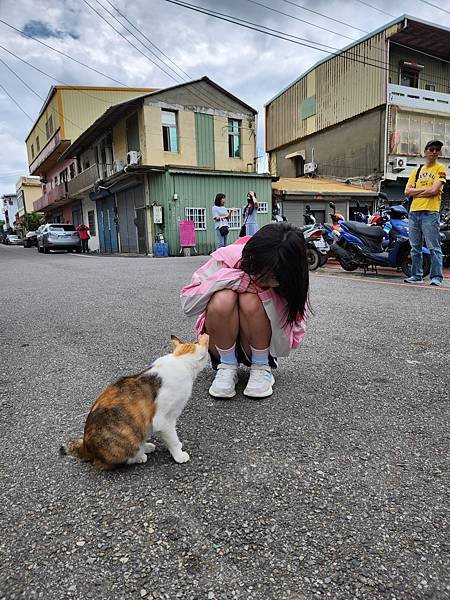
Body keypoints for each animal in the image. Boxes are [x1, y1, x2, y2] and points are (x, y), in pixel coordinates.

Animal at [59, 332, 209, 468]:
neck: (179, 359)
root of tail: (86, 447)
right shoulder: (163, 420)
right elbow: (173, 439)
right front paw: (179, 454)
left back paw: (146, 447)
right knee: (112, 462)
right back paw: (140, 456)